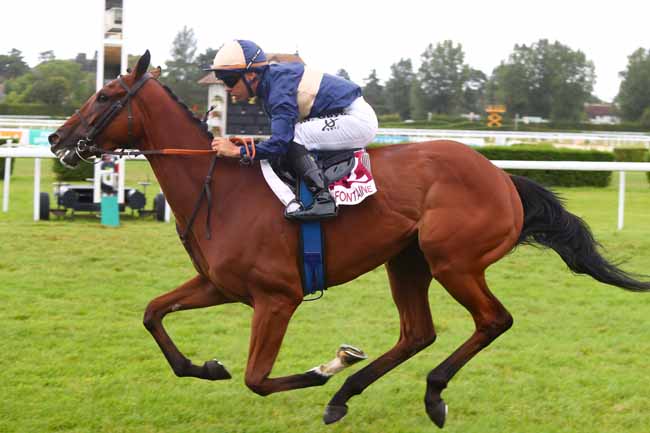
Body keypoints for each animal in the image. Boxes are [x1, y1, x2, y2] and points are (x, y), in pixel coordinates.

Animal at [46, 50, 648, 426]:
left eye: (106, 95)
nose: (56, 138)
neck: (222, 189)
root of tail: (502, 177)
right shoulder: (220, 285)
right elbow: (154, 315)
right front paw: (207, 367)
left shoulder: (278, 297)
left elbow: (258, 379)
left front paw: (326, 365)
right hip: (406, 261)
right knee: (417, 333)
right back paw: (347, 396)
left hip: (453, 262)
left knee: (492, 321)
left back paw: (427, 392)